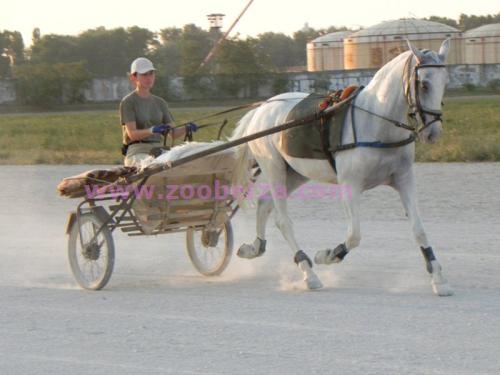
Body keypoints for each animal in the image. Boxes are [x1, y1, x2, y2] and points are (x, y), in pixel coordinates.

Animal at [230, 39, 454, 296]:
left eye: (445, 82)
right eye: (424, 84)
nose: (433, 133)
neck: (376, 123)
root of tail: (261, 108)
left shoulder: (404, 178)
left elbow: (419, 230)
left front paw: (438, 279)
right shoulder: (350, 184)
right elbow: (354, 235)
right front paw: (327, 255)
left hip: (295, 173)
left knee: (265, 203)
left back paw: (255, 247)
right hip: (274, 167)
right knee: (282, 220)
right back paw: (309, 272)